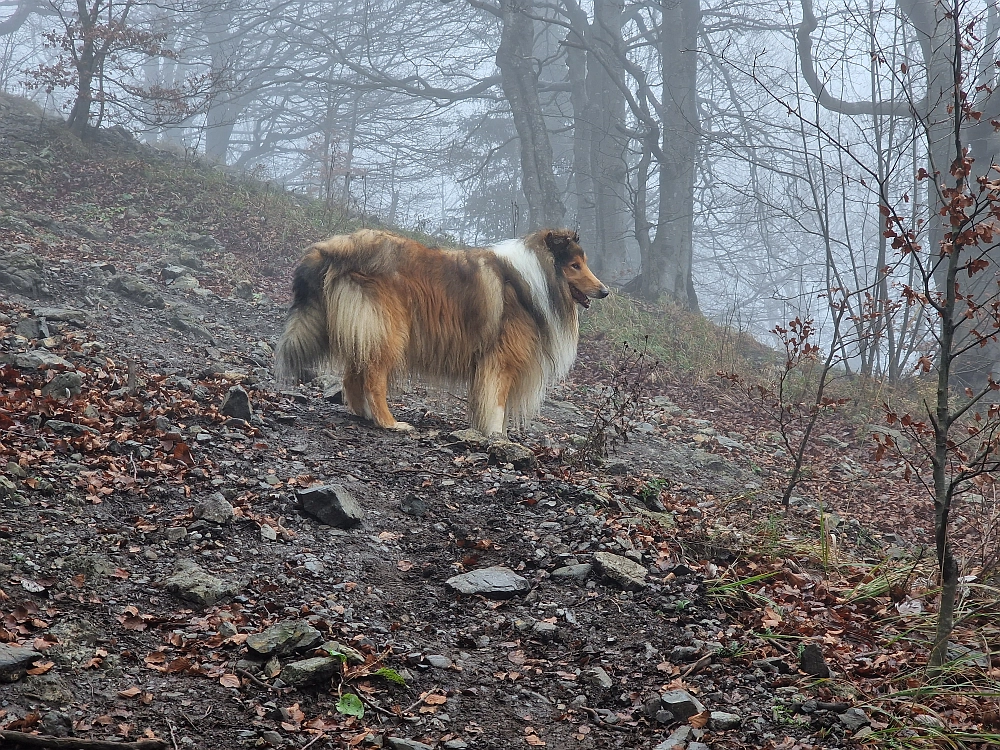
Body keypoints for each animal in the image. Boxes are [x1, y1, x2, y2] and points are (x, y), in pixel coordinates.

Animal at [274, 232, 608, 438]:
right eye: (575, 265)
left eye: (584, 263)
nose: (605, 291)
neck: (537, 279)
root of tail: (337, 247)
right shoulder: (500, 360)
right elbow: (497, 403)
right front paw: (496, 436)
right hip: (391, 332)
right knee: (373, 379)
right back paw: (390, 422)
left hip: (369, 330)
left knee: (352, 375)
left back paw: (363, 414)